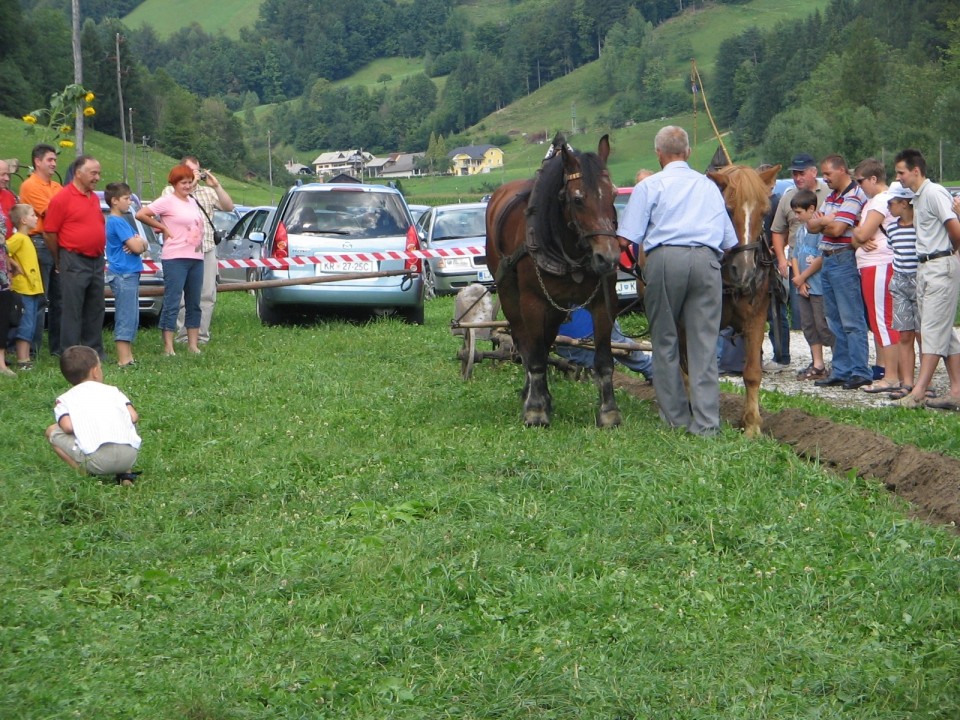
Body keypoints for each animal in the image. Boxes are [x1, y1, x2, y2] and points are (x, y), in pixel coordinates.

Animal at [484, 134, 620, 428]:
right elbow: (534, 356)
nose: (609, 257)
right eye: (577, 199)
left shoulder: (603, 304)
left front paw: (609, 412)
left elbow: (604, 359)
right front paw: (536, 410)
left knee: (545, 343)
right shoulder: (533, 303)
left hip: (557, 308)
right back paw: (531, 396)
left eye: (614, 194)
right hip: (509, 294)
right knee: (525, 342)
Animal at [704, 163, 780, 436]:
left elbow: (752, 373)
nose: (745, 269)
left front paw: (752, 425)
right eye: (727, 208)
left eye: (765, 211)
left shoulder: (756, 318)